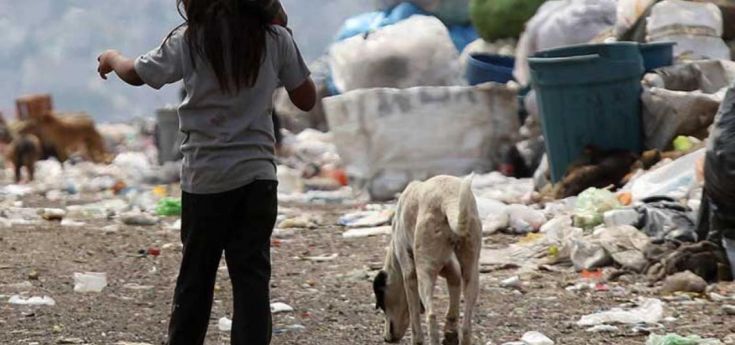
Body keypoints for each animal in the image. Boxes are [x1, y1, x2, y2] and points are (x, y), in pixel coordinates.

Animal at [374, 175, 484, 344]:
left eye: (381, 304)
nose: (386, 338)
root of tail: (448, 198)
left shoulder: (409, 274)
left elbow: (414, 315)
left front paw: (417, 339)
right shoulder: (450, 268)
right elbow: (454, 291)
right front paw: (450, 332)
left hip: (424, 272)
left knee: (431, 314)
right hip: (471, 268)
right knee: (467, 321)